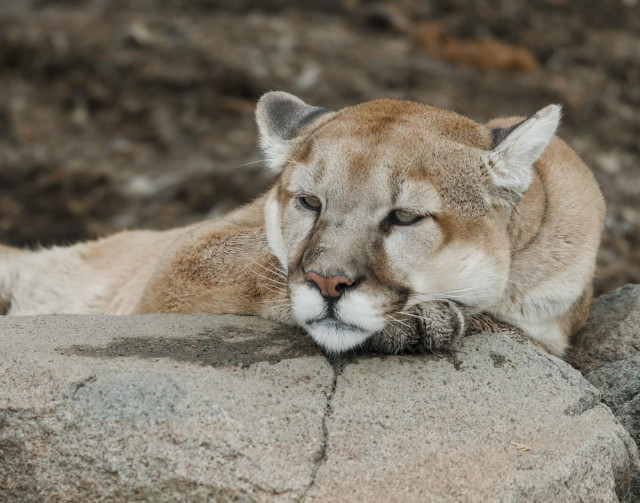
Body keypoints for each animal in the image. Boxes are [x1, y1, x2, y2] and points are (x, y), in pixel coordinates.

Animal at [0, 92, 605, 356]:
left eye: (405, 216)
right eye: (310, 202)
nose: (328, 283)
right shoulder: (185, 255)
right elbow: (263, 269)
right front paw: (421, 320)